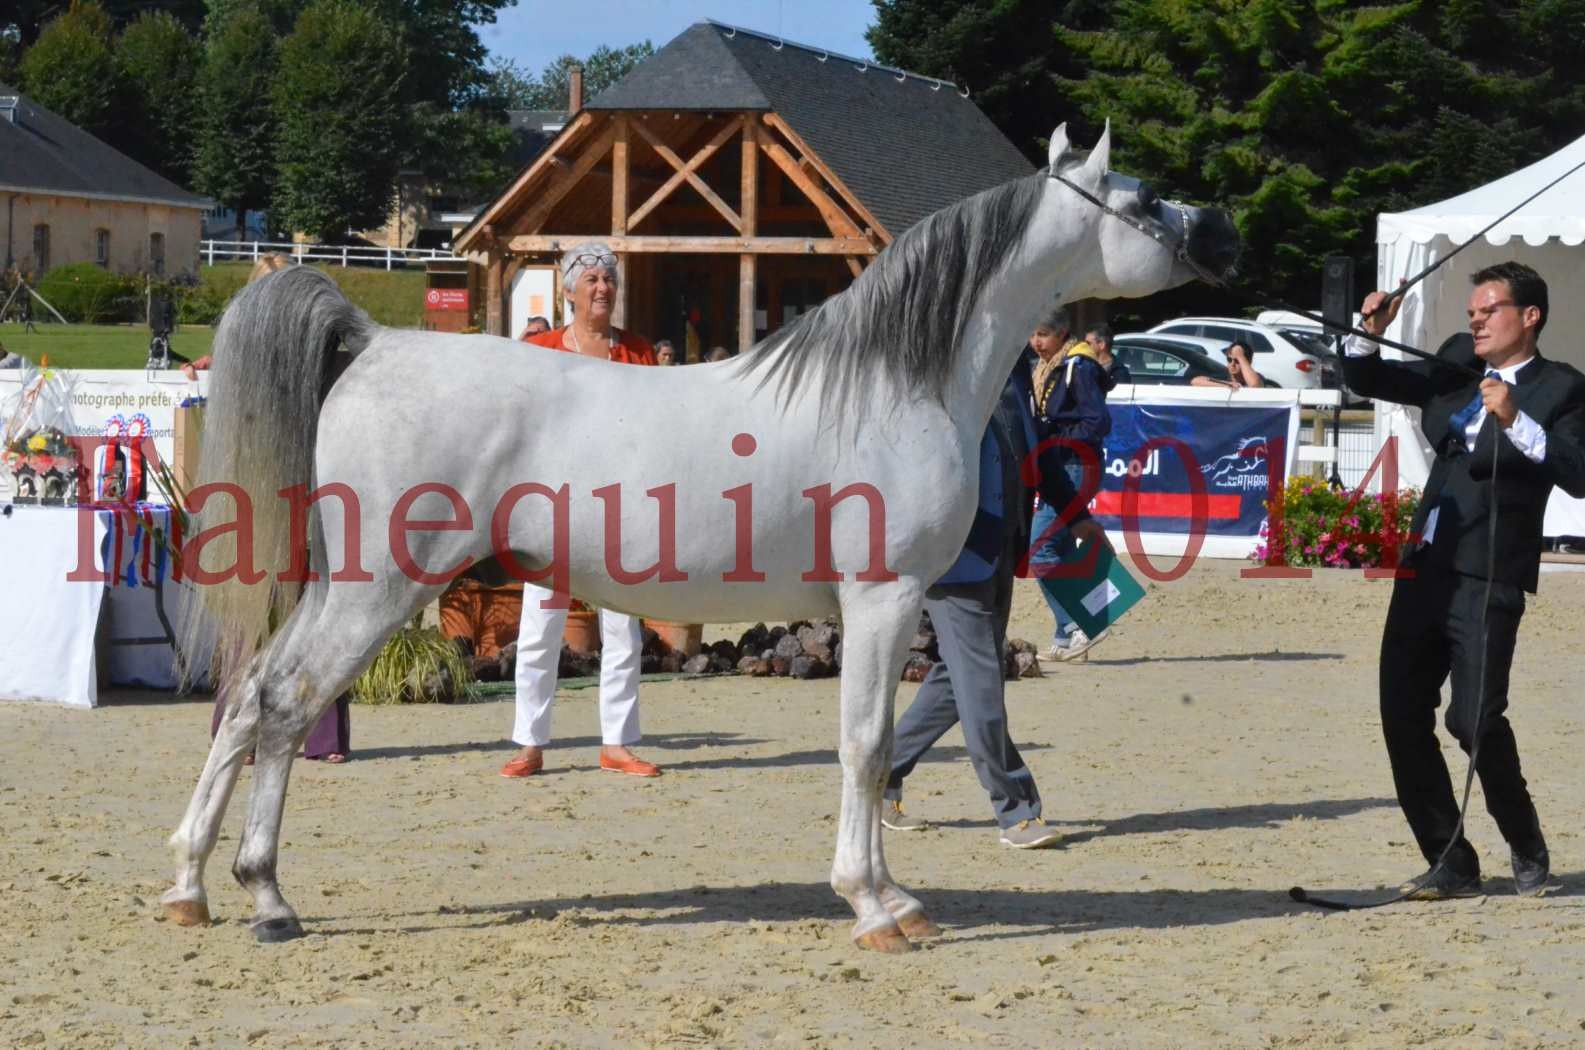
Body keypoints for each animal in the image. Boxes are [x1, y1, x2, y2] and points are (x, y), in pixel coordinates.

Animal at [160, 123, 1236, 951]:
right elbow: (862, 745)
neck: (896, 383)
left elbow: (881, 744)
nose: (1220, 229)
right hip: (376, 587)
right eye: (1143, 196)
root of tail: (375, 343)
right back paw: (259, 893)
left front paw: (887, 894)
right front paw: (876, 905)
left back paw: (199, 889)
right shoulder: (881, 601)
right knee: (281, 703)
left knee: (253, 699)